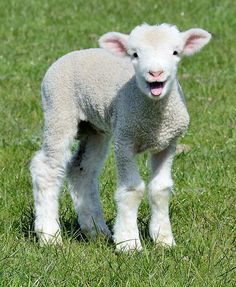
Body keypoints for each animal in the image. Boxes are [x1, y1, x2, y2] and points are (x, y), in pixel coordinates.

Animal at [30, 23, 212, 252]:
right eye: (134, 54)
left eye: (175, 52)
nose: (155, 73)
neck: (155, 120)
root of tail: (75, 53)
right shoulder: (125, 141)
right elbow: (132, 190)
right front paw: (129, 243)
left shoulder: (168, 144)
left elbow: (160, 189)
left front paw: (164, 240)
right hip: (59, 111)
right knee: (47, 168)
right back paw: (49, 235)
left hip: (95, 129)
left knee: (81, 170)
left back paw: (96, 231)